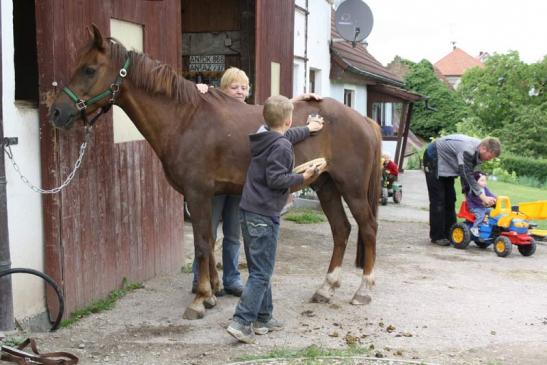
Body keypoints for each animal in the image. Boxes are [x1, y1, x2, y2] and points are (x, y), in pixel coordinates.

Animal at [49, 25, 384, 318]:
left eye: (89, 69)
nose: (56, 112)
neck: (185, 119)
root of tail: (364, 121)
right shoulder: (205, 195)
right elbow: (209, 240)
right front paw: (211, 292)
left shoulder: (197, 193)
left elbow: (200, 243)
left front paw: (199, 299)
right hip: (326, 186)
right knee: (341, 230)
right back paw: (326, 288)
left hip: (351, 189)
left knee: (367, 228)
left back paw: (363, 290)